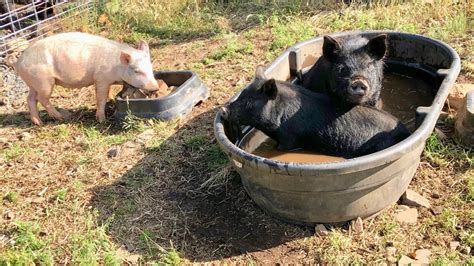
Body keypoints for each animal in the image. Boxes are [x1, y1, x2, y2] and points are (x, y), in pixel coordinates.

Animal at [14, 31, 159, 125]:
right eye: (137, 71)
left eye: (151, 68)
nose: (155, 88)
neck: (117, 67)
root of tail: (19, 62)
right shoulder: (101, 79)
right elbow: (101, 97)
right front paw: (101, 120)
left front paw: (113, 98)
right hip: (44, 81)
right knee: (42, 98)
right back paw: (60, 118)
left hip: (33, 83)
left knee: (30, 99)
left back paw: (38, 122)